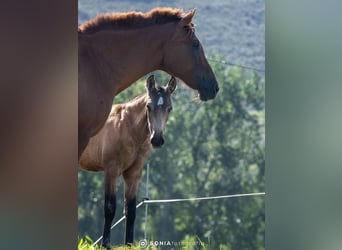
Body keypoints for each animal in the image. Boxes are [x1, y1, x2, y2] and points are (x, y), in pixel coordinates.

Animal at [79, 75, 178, 248]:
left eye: (169, 108)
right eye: (148, 106)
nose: (157, 140)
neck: (127, 128)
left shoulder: (133, 174)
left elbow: (130, 210)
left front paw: (129, 244)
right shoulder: (111, 171)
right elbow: (110, 207)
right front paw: (105, 244)